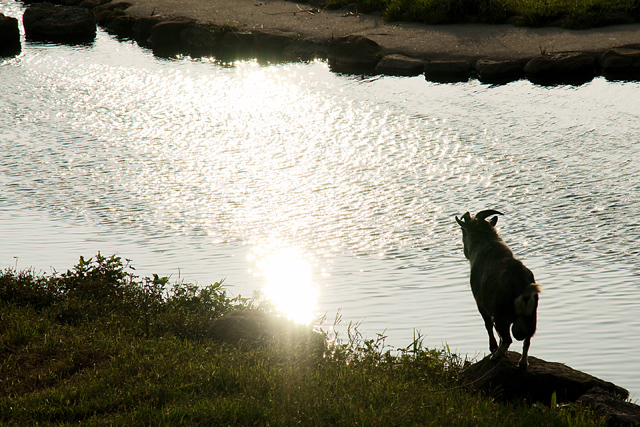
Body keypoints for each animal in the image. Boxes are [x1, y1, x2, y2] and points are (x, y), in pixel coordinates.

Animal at [456, 210, 540, 368]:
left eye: (463, 231)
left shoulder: (480, 303)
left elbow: (488, 324)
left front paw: (493, 348)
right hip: (531, 315)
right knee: (527, 339)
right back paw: (522, 363)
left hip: (501, 315)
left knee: (508, 338)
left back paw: (495, 357)